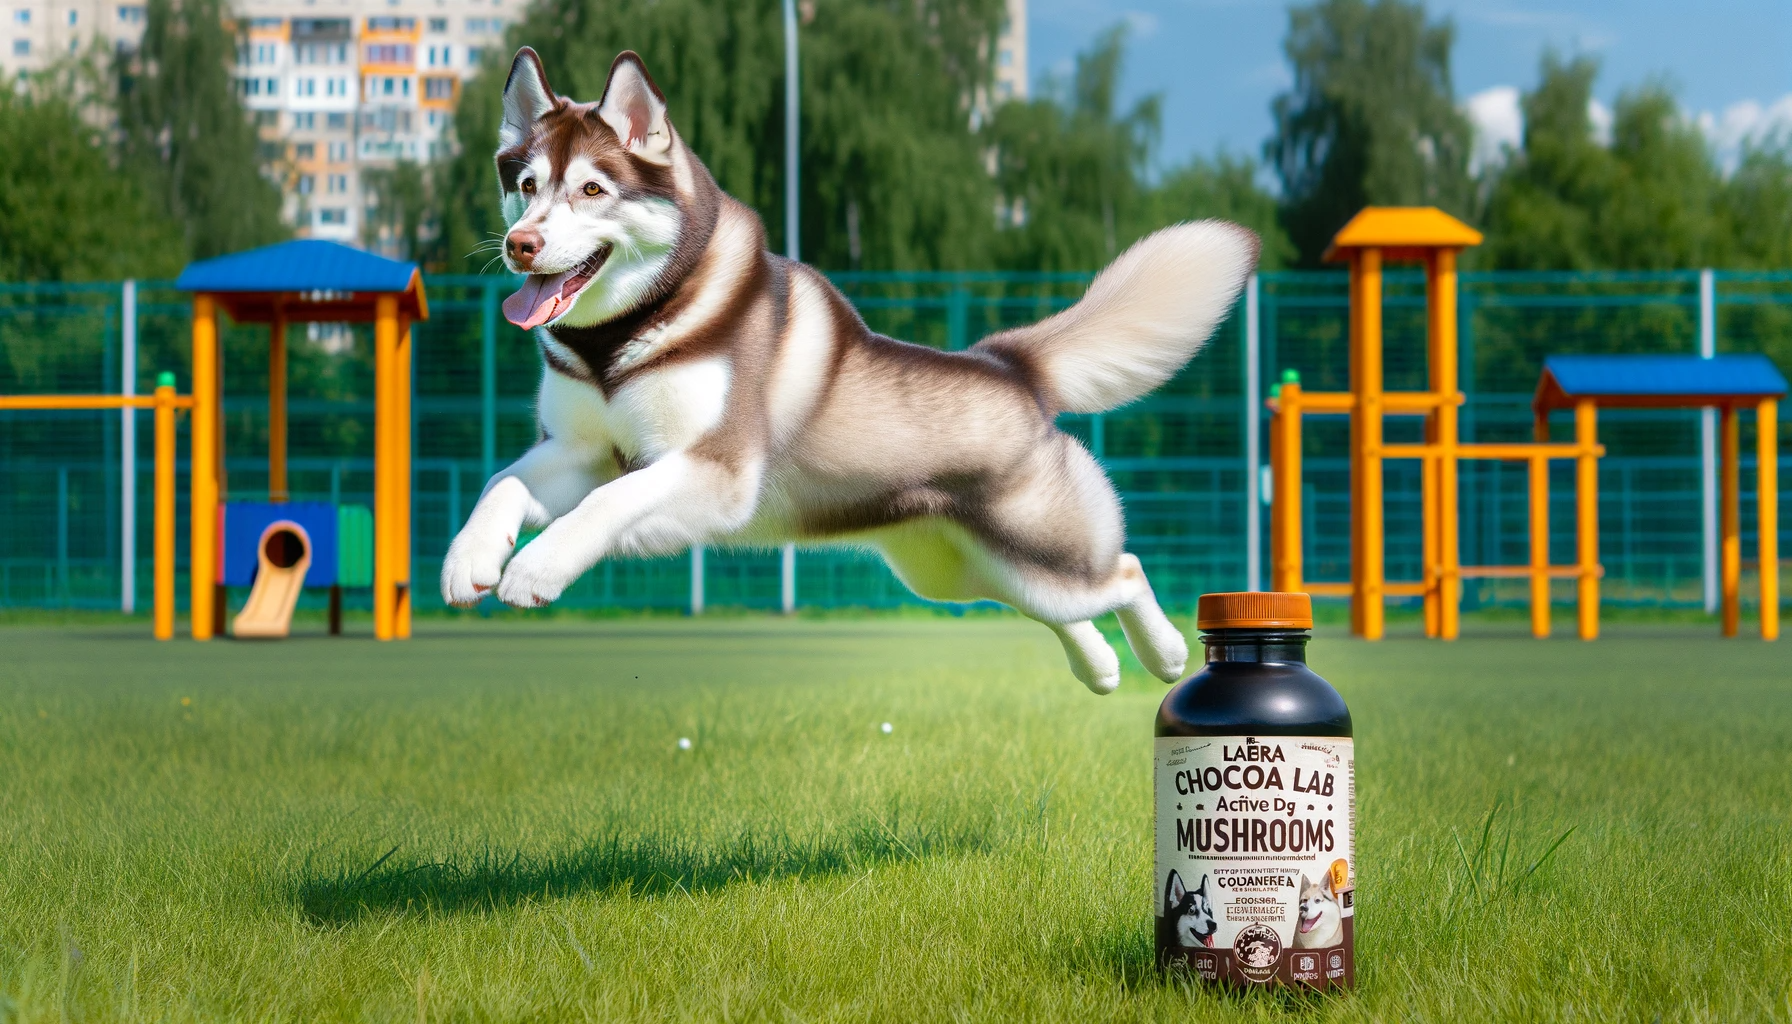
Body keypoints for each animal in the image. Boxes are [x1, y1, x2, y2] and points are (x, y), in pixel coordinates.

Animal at [446, 46, 1261, 688]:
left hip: (1043, 551)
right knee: (1060, 609)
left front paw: (537, 568)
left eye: (592, 189)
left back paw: (1165, 656)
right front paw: (470, 559)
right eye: (526, 185)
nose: (519, 244)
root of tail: (1008, 364)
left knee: (1125, 572)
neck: (616, 344)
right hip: (957, 571)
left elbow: (607, 504)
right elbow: (501, 482)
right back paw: (1101, 667)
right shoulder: (580, 449)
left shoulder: (715, 468)